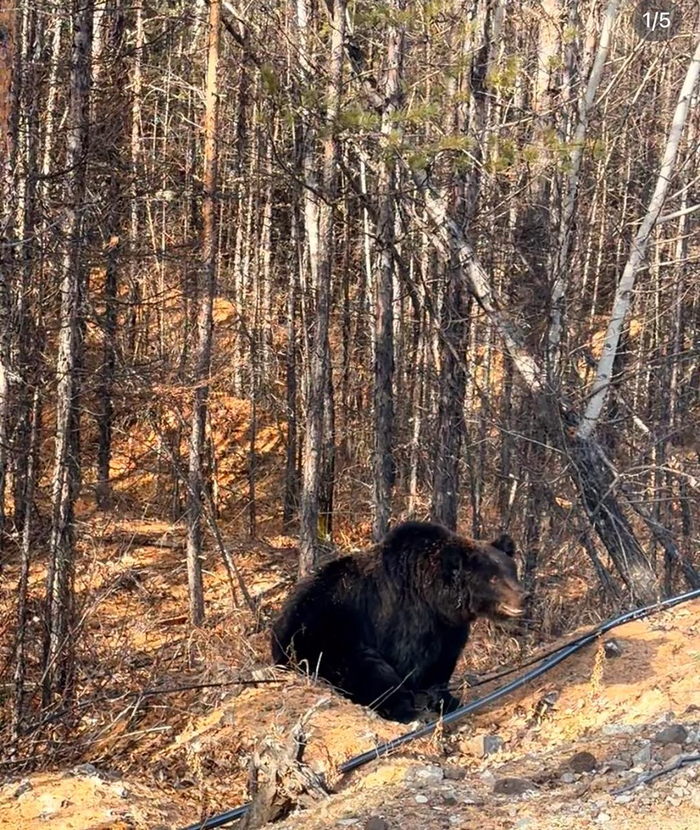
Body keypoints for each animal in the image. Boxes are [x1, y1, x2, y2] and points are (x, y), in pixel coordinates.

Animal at [271, 521, 527, 722]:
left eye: (511, 570)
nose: (523, 596)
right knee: (369, 671)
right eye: (493, 578)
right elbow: (407, 663)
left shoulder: (449, 629)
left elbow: (442, 664)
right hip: (326, 638)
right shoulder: (404, 619)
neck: (435, 601)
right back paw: (405, 709)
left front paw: (448, 699)